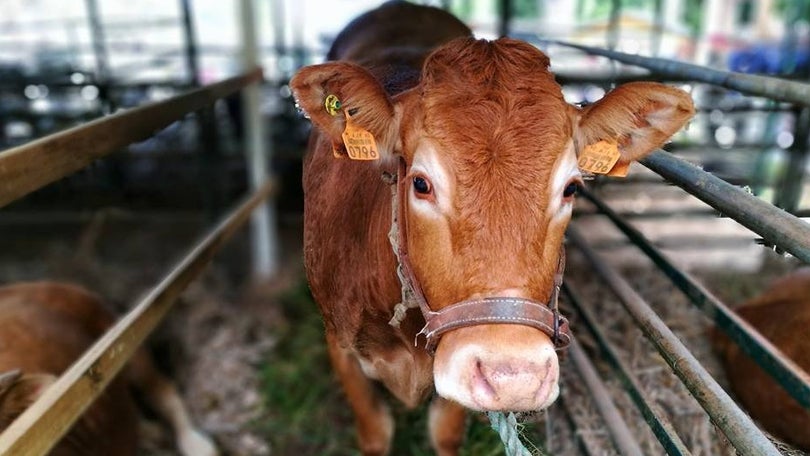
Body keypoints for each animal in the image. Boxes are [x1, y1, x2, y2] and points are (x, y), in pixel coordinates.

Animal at [288, 1, 688, 454]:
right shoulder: (339, 346)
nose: (514, 377)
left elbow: (445, 434)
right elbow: (375, 433)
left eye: (571, 187)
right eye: (420, 183)